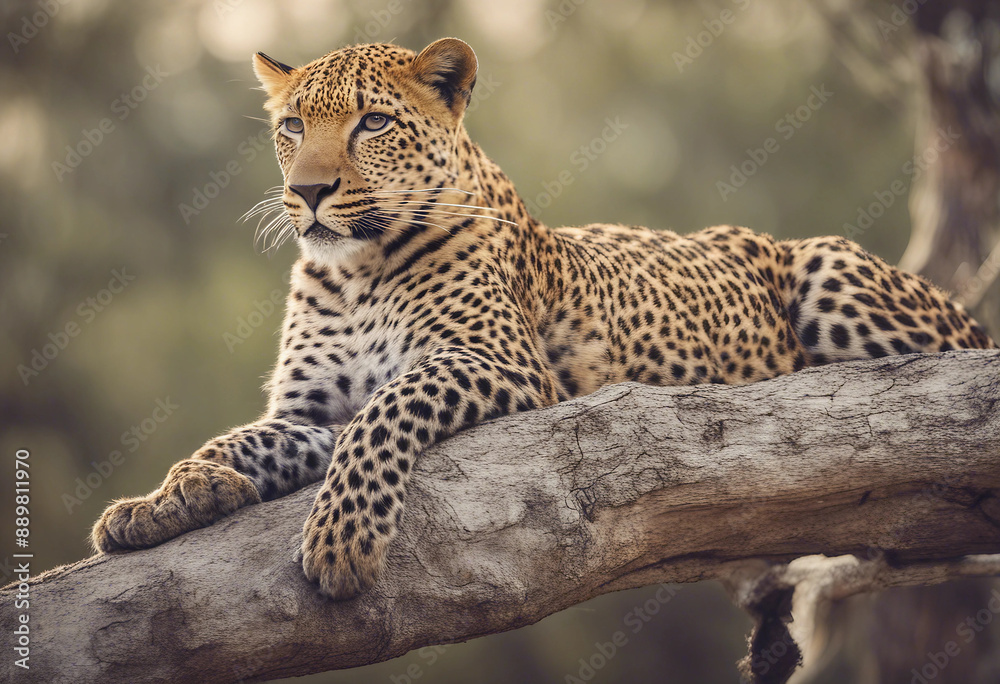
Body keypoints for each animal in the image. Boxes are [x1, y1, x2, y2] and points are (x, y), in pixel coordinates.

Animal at [91, 37, 996, 600]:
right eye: (291, 126)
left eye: (372, 122)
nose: (307, 192)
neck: (351, 272)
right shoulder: (309, 411)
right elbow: (239, 438)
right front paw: (168, 497)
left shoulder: (499, 364)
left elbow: (386, 412)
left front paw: (342, 542)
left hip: (831, 270)